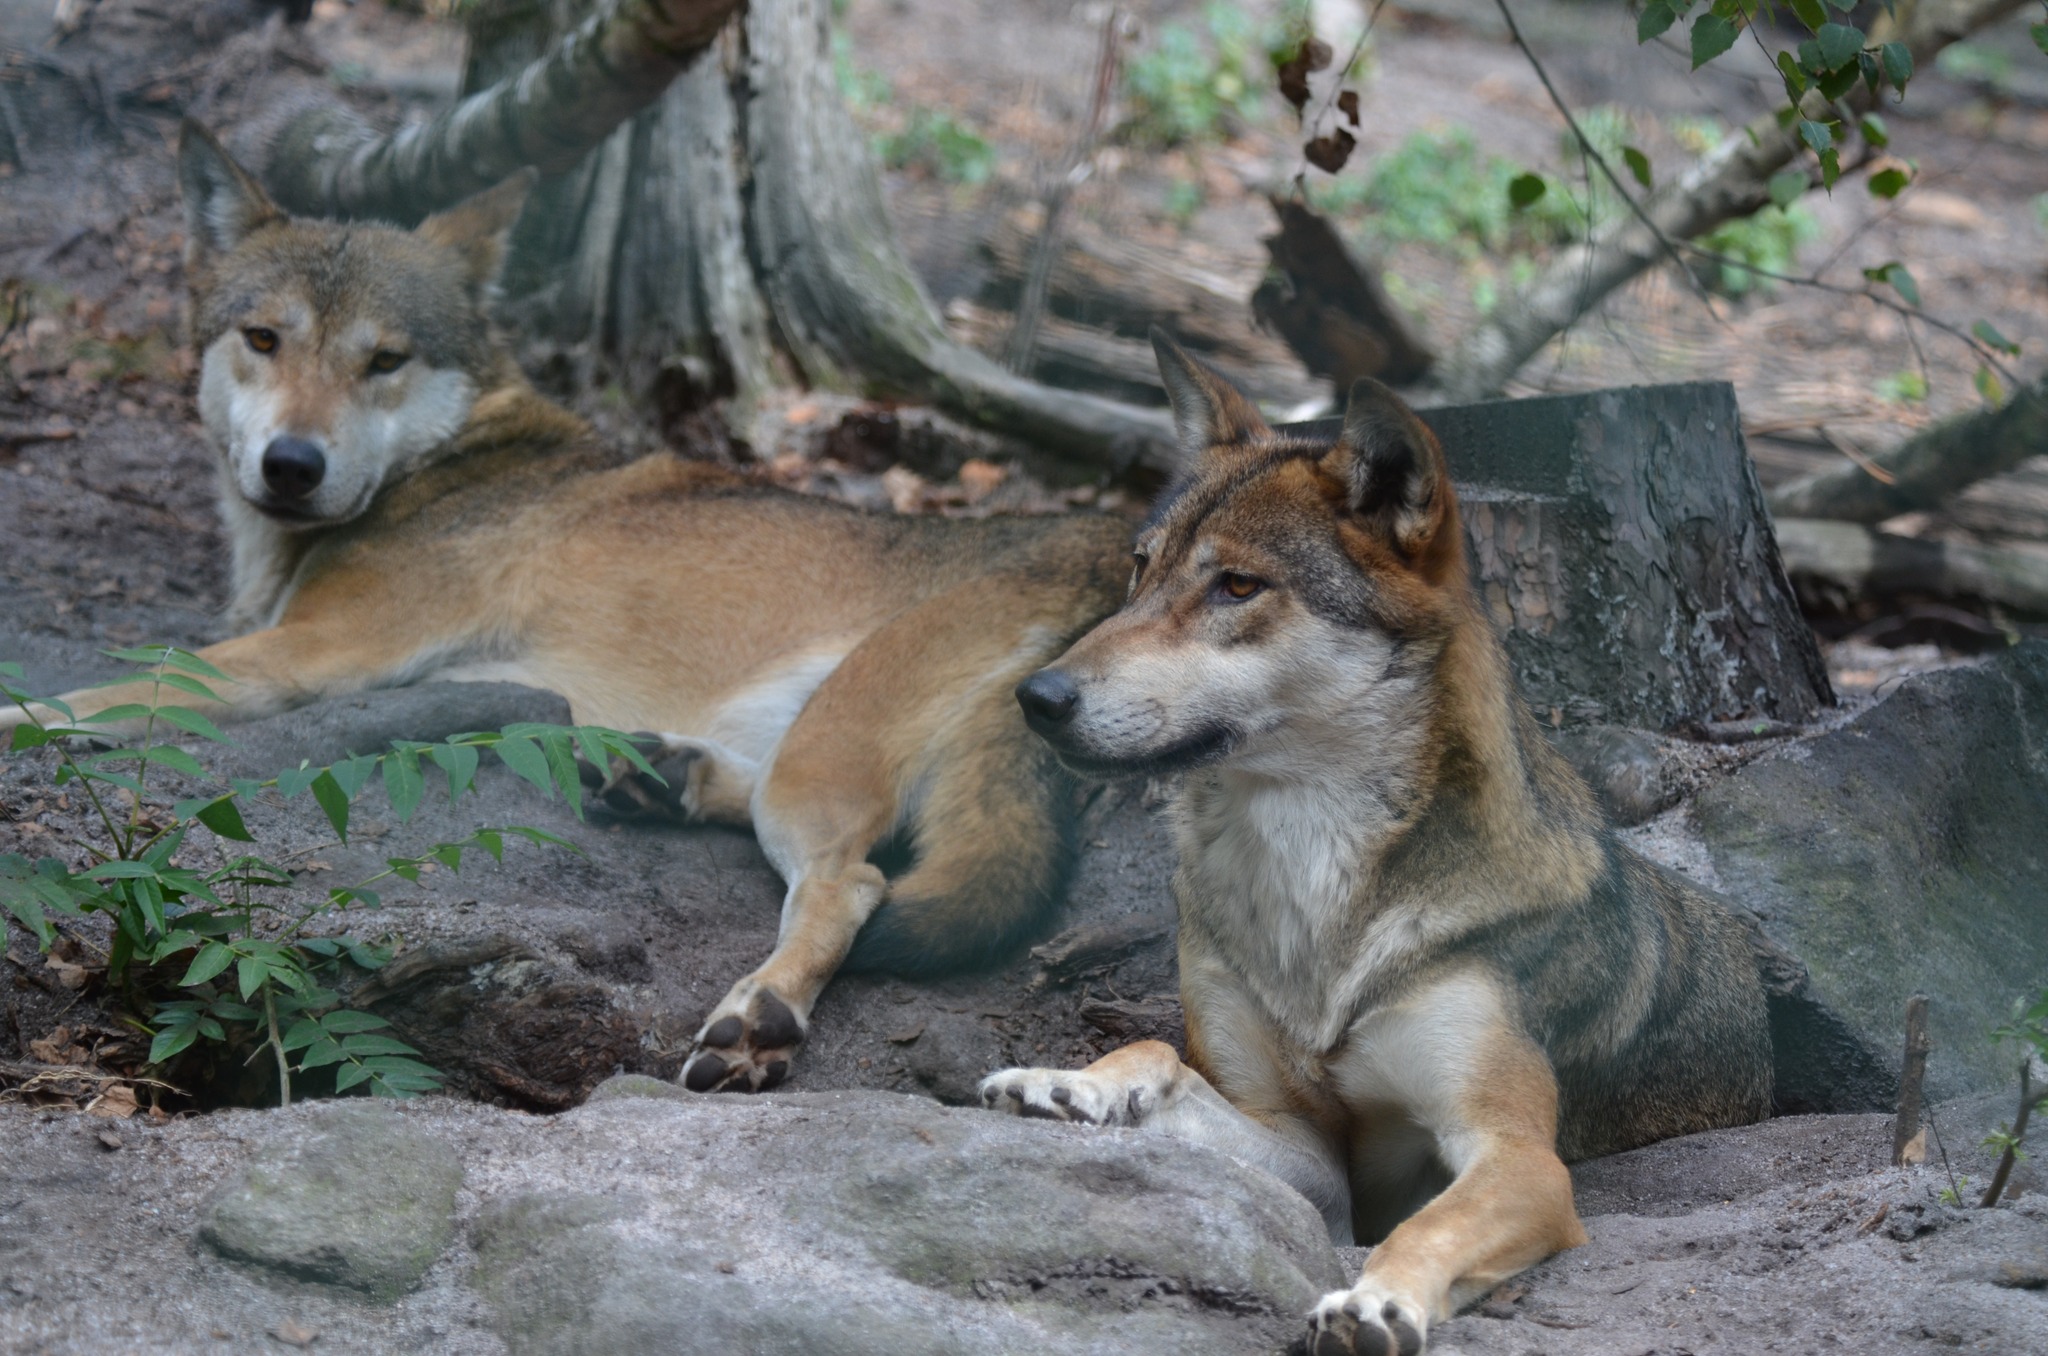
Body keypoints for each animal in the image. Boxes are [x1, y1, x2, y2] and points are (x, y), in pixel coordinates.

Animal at [4, 116, 1138, 1097]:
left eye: (384, 359)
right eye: (264, 338)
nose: (293, 464)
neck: (451, 459)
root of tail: (1116, 547)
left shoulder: (314, 650)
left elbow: (106, 696)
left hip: (819, 761)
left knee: (849, 886)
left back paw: (754, 1018)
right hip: (795, 743)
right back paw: (658, 781)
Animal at [978, 337, 1777, 1356]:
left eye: (1238, 586)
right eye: (1139, 569)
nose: (1037, 697)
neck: (1311, 886)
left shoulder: (1517, 1155)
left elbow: (1424, 1225)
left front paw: (1376, 1301)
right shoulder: (1310, 1159)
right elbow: (1157, 1053)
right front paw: (1067, 1083)